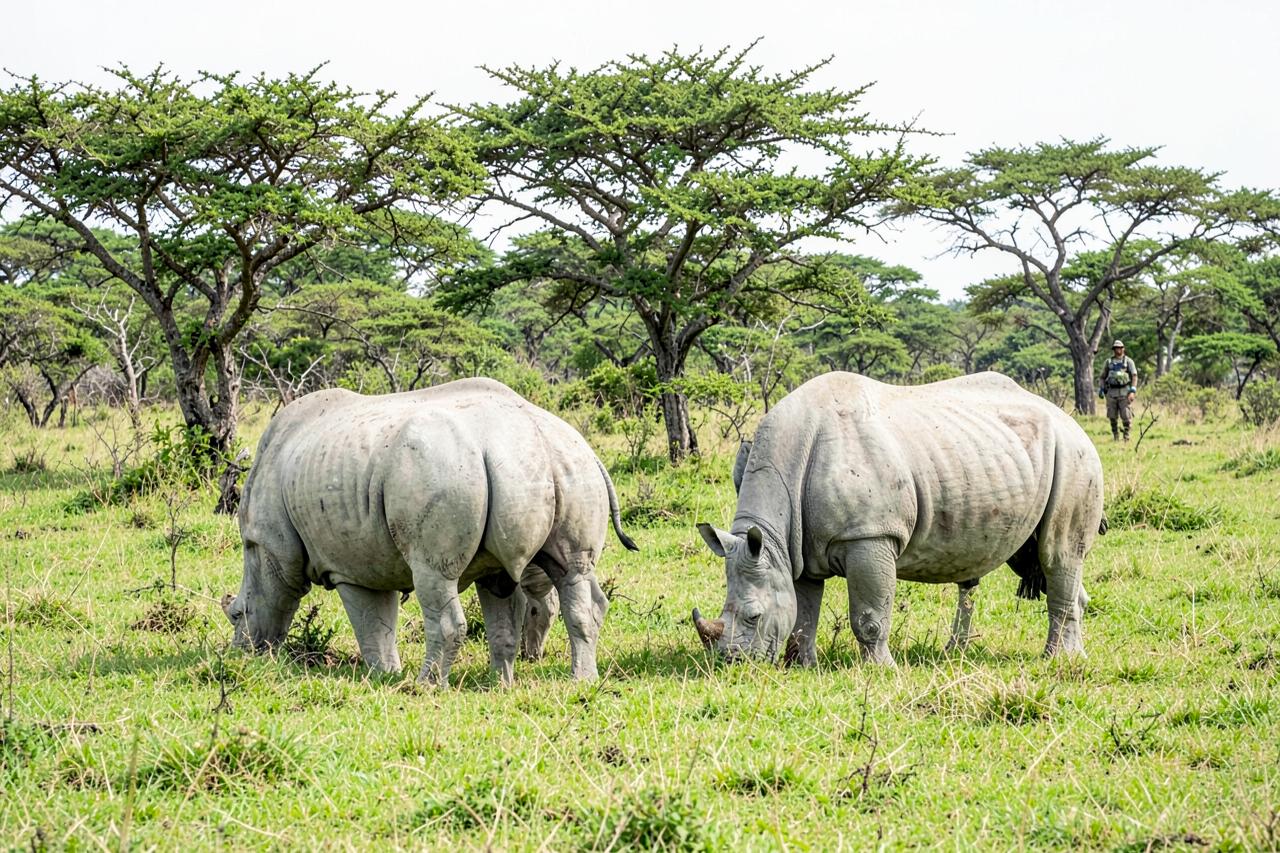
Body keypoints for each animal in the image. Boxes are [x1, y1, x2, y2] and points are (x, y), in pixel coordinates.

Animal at [223, 378, 637, 686]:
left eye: (237, 615)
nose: (243, 654)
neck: (258, 552)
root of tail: (540, 442)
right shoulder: (369, 558)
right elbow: (382, 622)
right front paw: (387, 676)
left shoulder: (344, 566)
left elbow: (369, 620)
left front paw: (386, 677)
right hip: (568, 465)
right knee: (568, 574)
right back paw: (551, 683)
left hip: (443, 472)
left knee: (436, 576)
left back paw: (429, 685)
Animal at [693, 371, 1104, 666]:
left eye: (754, 617)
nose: (733, 663)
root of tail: (1072, 421)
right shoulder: (796, 547)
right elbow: (802, 615)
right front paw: (800, 666)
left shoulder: (870, 535)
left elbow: (869, 615)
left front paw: (880, 670)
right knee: (1032, 555)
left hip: (1075, 454)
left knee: (1058, 553)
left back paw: (1057, 661)